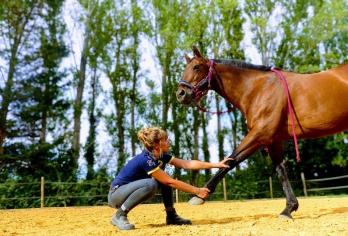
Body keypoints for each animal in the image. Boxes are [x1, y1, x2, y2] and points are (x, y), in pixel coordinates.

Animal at [175, 46, 348, 219]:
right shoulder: (271, 140)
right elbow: (281, 171)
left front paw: (199, 195)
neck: (258, 89)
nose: (180, 94)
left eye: (196, 67)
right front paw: (289, 208)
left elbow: (232, 159)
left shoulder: (260, 134)